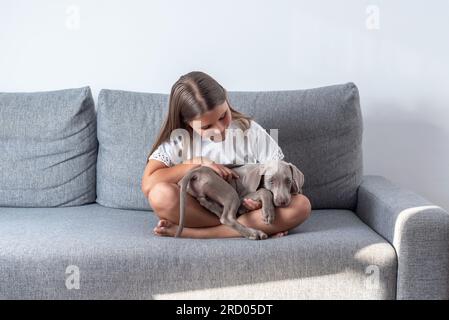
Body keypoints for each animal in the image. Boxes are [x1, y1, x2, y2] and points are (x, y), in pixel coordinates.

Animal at [175, 160, 304, 240]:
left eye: (288, 181)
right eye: (271, 181)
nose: (282, 202)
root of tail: (196, 172)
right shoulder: (243, 195)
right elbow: (265, 191)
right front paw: (268, 213)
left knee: (206, 202)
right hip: (230, 192)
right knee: (227, 218)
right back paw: (254, 233)